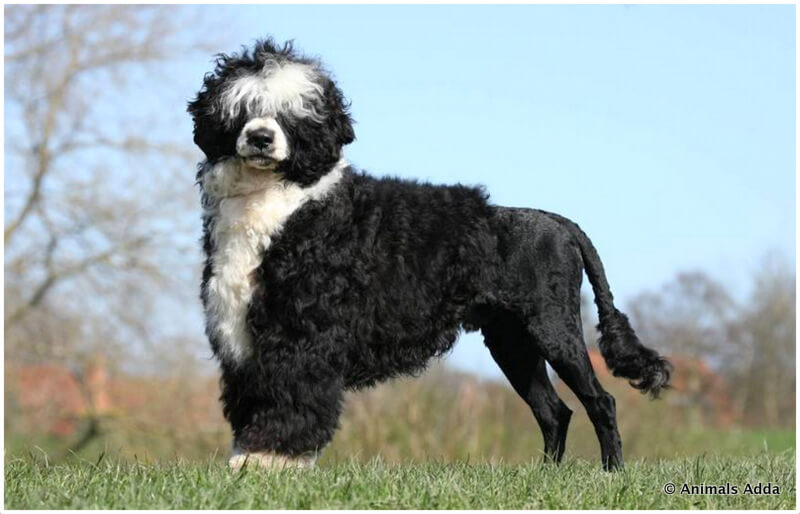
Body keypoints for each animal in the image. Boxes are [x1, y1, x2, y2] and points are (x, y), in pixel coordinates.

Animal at [186, 37, 668, 468]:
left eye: (295, 115)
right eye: (241, 108)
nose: (260, 138)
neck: (286, 200)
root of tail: (558, 222)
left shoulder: (301, 334)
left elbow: (291, 400)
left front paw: (272, 462)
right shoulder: (244, 338)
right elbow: (253, 403)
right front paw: (247, 464)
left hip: (553, 328)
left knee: (600, 402)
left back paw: (611, 473)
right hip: (512, 341)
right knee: (554, 412)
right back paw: (546, 476)